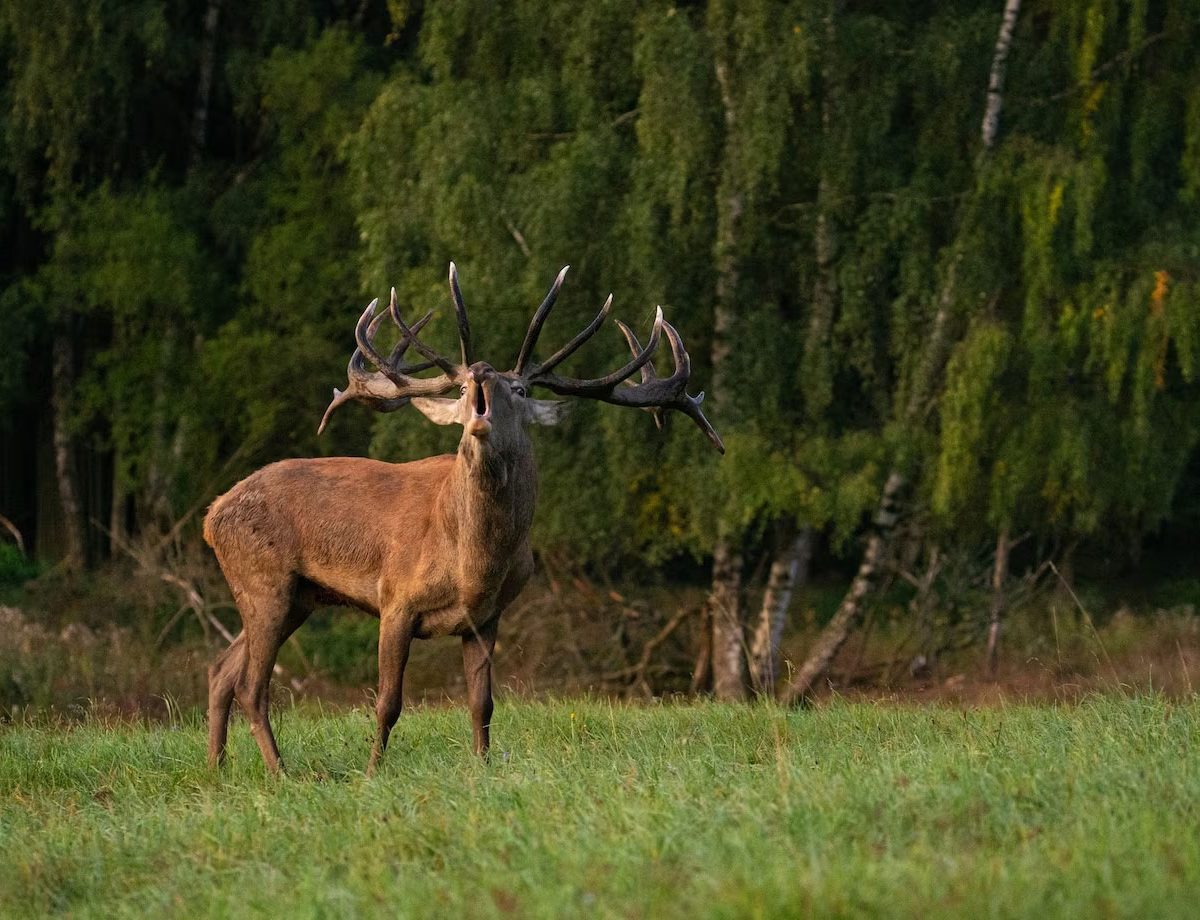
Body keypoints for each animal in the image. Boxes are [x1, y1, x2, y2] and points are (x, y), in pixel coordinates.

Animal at [202, 263, 723, 774]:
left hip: (299, 596)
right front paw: (372, 773)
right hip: (264, 580)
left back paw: (217, 767)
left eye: (519, 389)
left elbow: (482, 703)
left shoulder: (486, 617)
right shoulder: (395, 599)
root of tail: (211, 516)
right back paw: (278, 772)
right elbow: (388, 702)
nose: (479, 373)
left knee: (221, 670)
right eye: (459, 387)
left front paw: (482, 767)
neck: (473, 566)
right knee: (250, 684)